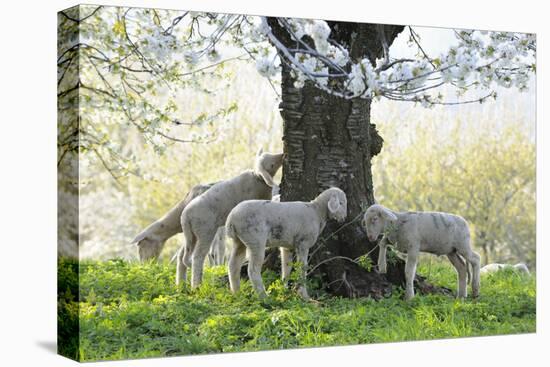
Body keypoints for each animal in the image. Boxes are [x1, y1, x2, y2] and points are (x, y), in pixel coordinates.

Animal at [178, 149, 284, 288]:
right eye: (271, 165)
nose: (283, 155)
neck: (257, 177)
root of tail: (185, 216)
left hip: (191, 234)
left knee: (183, 255)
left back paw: (181, 283)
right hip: (204, 230)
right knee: (197, 256)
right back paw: (197, 284)